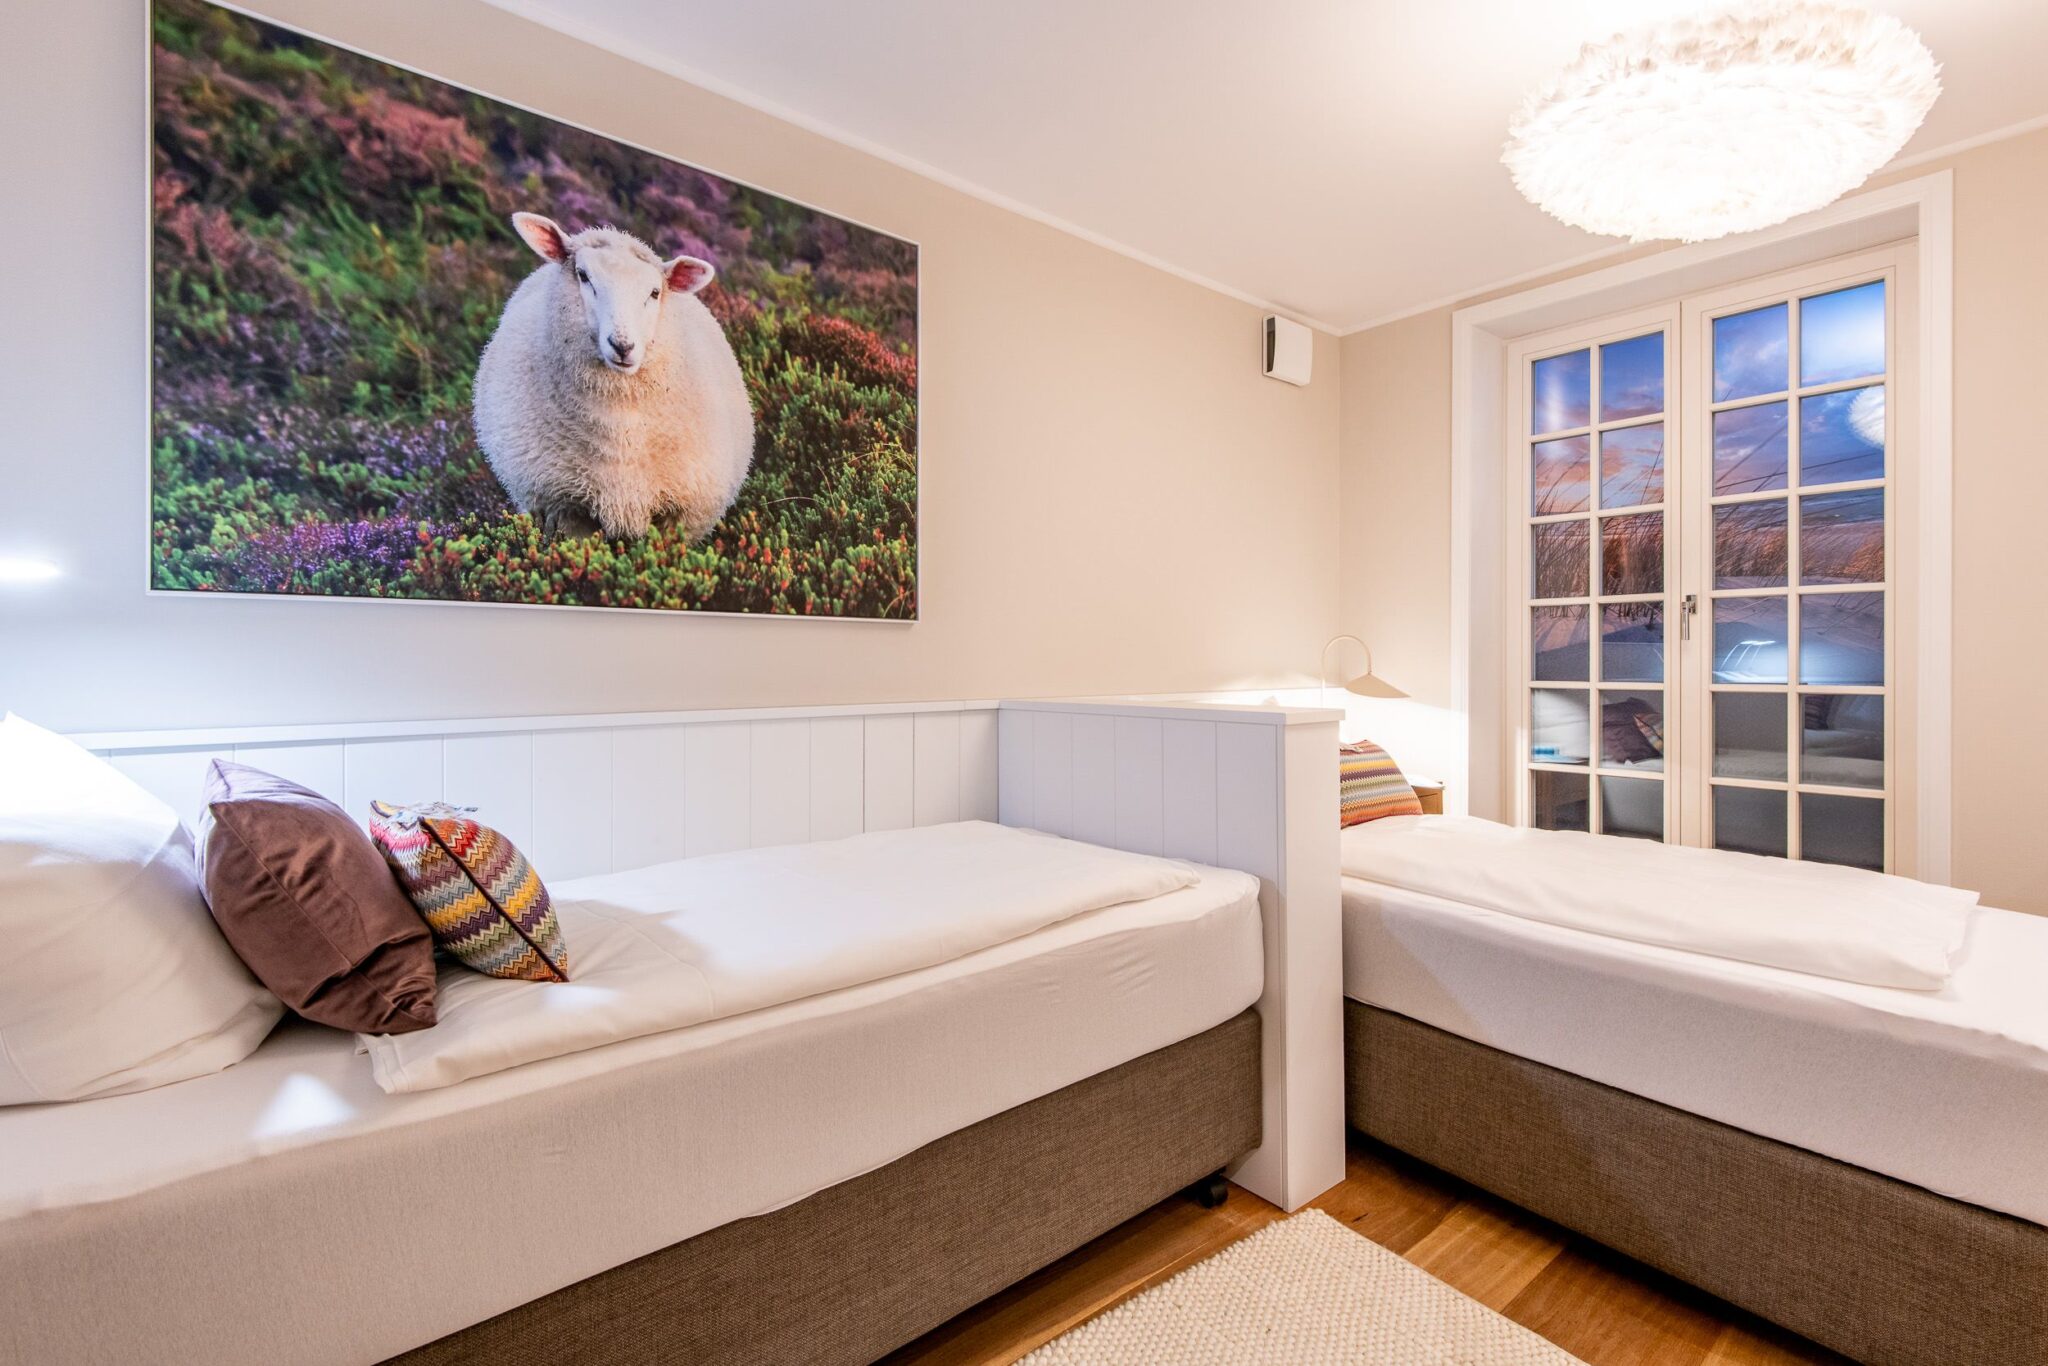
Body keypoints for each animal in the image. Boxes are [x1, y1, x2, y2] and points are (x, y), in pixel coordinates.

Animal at [473, 212, 754, 542]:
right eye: (583, 275)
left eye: (654, 292)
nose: (623, 345)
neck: (619, 431)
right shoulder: (566, 507)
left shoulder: (681, 513)